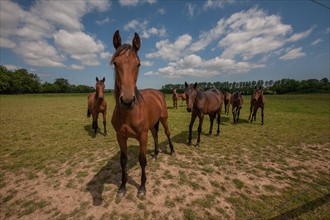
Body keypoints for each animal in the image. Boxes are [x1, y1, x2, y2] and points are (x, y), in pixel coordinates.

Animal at [110, 29, 175, 198]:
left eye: (138, 64)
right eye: (115, 63)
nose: (127, 101)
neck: (128, 114)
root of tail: (158, 93)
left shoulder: (142, 136)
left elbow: (142, 160)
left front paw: (142, 187)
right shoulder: (120, 136)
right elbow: (123, 161)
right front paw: (122, 187)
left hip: (164, 119)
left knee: (167, 133)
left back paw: (172, 151)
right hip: (152, 125)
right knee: (156, 135)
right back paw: (156, 154)